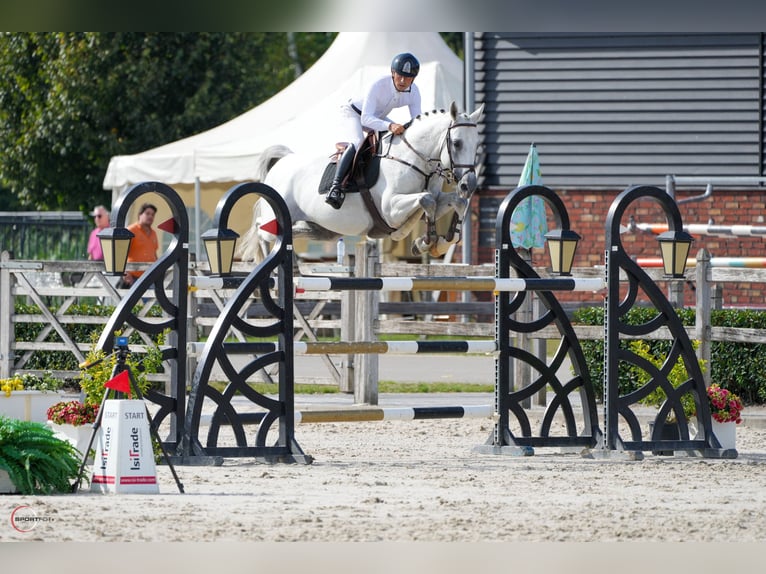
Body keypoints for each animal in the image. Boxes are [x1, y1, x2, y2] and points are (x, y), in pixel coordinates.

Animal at [236, 101, 484, 263]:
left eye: (476, 144)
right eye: (458, 143)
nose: (468, 185)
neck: (415, 159)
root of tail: (282, 162)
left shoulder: (436, 199)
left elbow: (453, 202)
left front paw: (439, 242)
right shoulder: (391, 209)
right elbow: (427, 200)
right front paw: (425, 241)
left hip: (322, 229)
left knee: (292, 231)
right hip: (275, 217)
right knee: (261, 230)